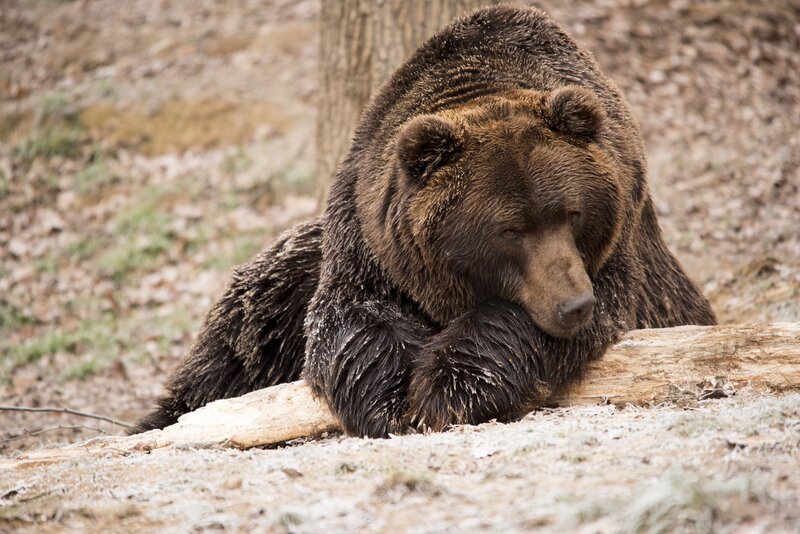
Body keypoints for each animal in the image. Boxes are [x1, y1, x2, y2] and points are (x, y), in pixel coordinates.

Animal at [133, 6, 716, 438]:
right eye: (509, 229)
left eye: (572, 213)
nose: (573, 304)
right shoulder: (368, 237)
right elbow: (350, 320)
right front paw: (393, 399)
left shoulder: (616, 254)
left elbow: (529, 321)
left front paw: (446, 386)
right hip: (290, 275)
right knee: (244, 333)